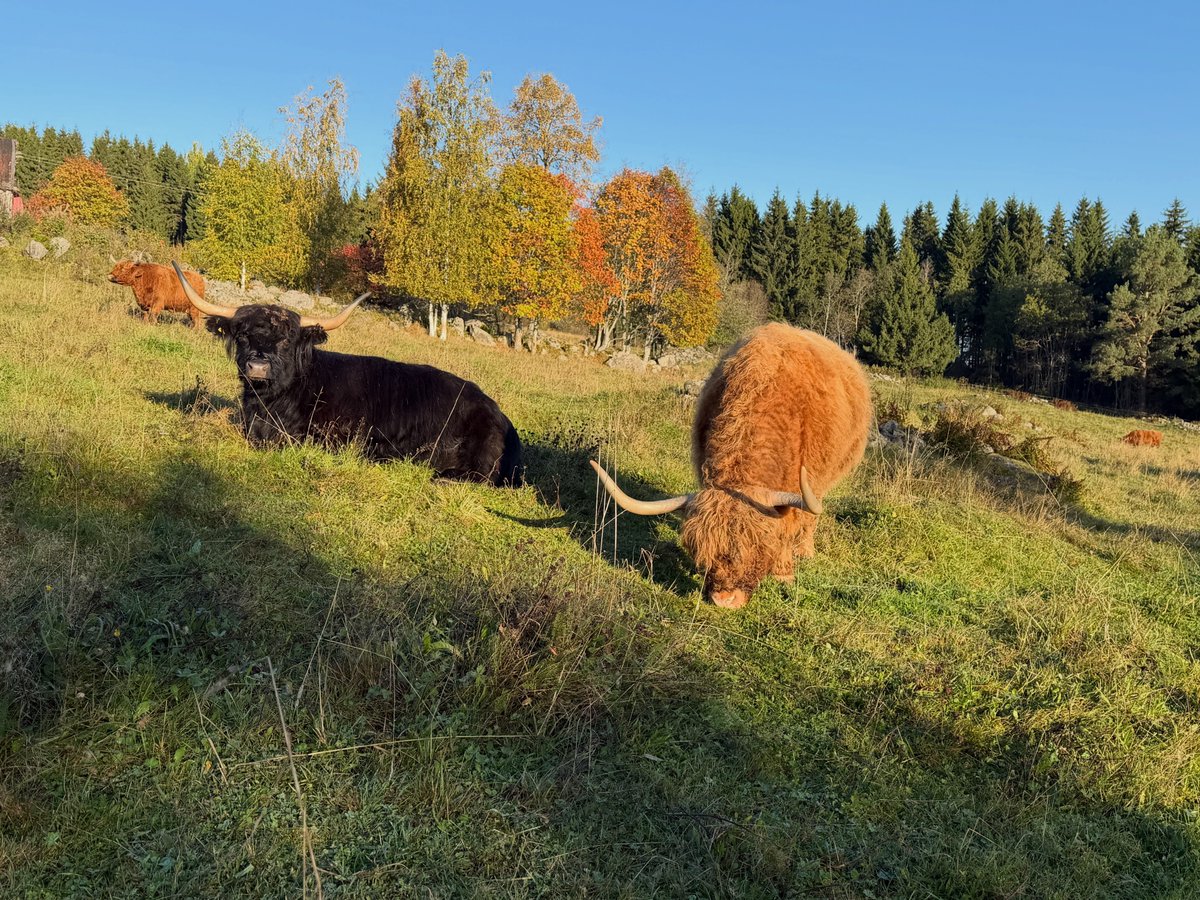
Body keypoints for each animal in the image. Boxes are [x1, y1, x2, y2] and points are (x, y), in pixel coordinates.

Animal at [591, 323, 871, 609]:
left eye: (758, 545)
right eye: (699, 550)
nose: (724, 600)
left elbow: (792, 523)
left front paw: (784, 572)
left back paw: (804, 550)